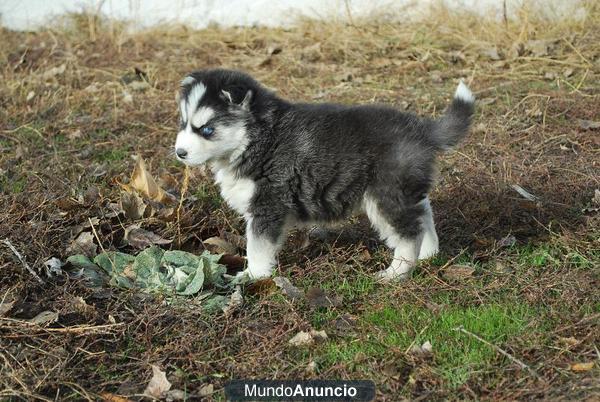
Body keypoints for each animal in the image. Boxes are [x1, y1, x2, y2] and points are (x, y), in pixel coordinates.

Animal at [173, 68, 474, 280]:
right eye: (184, 124)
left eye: (207, 129)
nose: (179, 152)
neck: (257, 137)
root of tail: (421, 130)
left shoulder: (268, 205)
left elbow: (256, 247)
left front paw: (253, 276)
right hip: (404, 188)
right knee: (424, 215)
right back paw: (429, 254)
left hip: (386, 195)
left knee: (409, 232)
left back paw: (396, 273)